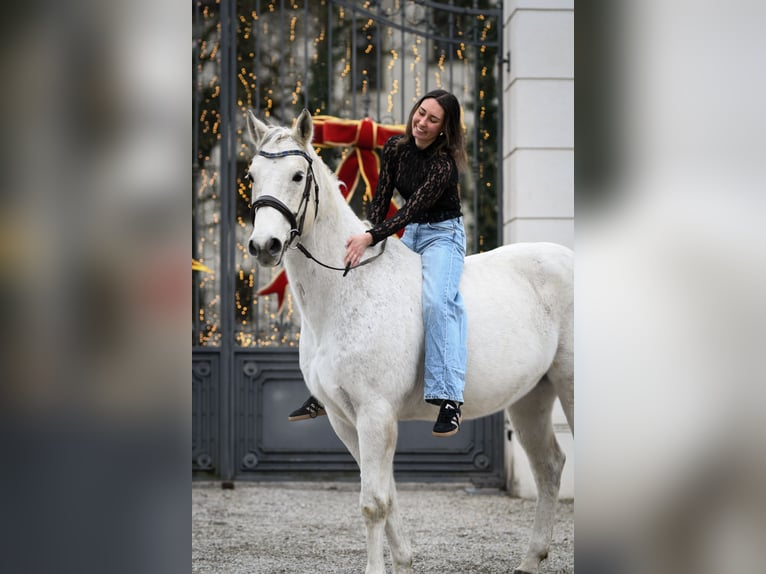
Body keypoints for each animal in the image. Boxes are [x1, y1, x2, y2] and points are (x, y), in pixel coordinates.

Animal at [248, 109, 576, 574]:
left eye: (297, 175)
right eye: (251, 174)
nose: (265, 245)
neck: (346, 288)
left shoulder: (375, 414)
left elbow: (373, 503)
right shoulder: (344, 420)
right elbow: (386, 494)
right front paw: (403, 558)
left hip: (569, 385)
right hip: (531, 397)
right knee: (549, 466)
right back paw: (531, 560)